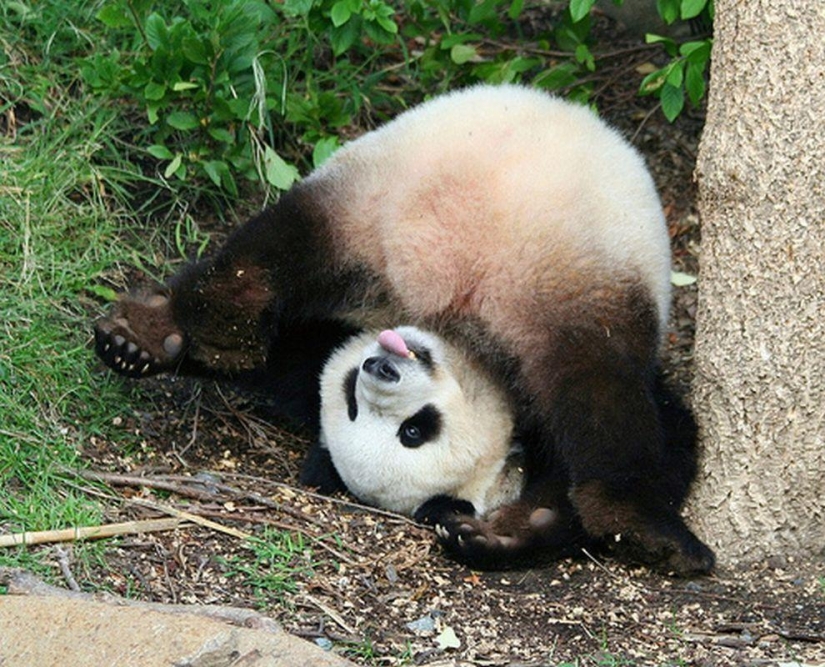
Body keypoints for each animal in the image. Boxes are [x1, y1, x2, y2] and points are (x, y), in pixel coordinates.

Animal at [94, 84, 714, 575]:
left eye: (415, 429)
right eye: (354, 404)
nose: (380, 366)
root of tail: (444, 267)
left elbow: (288, 354)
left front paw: (492, 534)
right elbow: (673, 436)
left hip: (377, 200)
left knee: (265, 258)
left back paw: (171, 337)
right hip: (492, 262)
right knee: (601, 390)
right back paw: (645, 527)